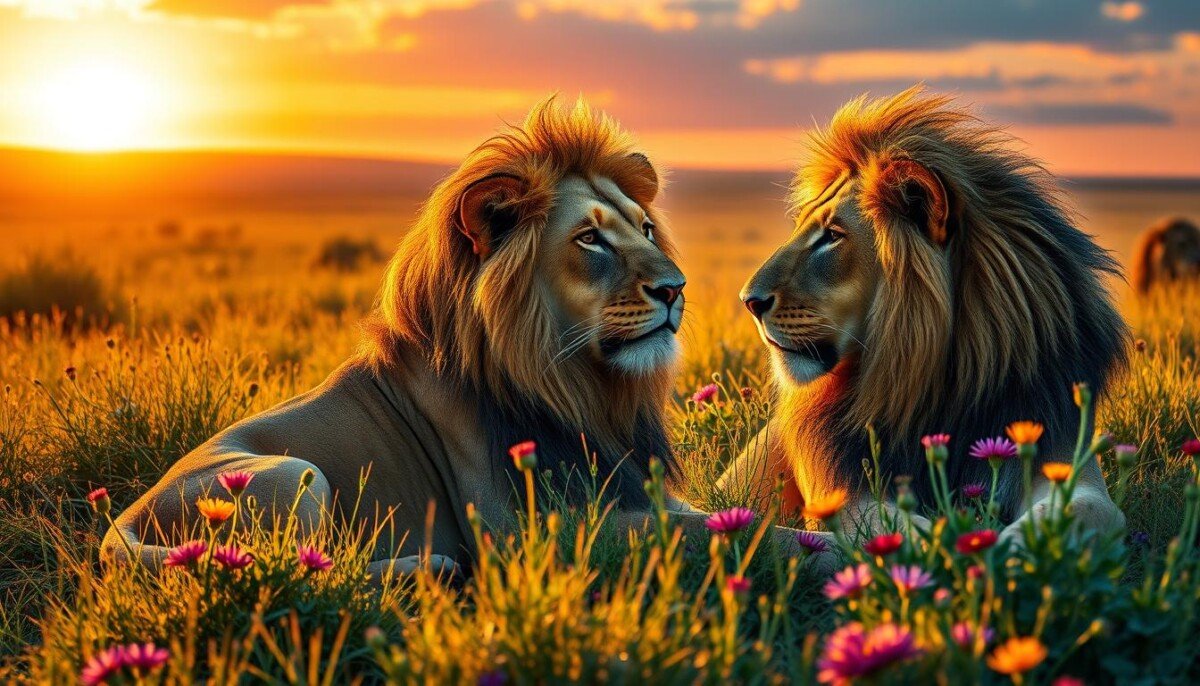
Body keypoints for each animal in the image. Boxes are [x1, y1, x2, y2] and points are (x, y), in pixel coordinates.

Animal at [104, 98, 793, 578]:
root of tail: (120, 527)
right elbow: (745, 534)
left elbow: (730, 519)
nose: (677, 288)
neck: (577, 387)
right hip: (293, 476)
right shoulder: (536, 533)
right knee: (307, 573)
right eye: (589, 239)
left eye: (647, 229)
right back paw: (429, 570)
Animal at [720, 87, 1130, 547]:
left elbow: (1087, 508)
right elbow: (885, 525)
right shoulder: (840, 486)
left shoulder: (1063, 452)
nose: (748, 301)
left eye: (832, 236)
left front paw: (1018, 545)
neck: (941, 380)